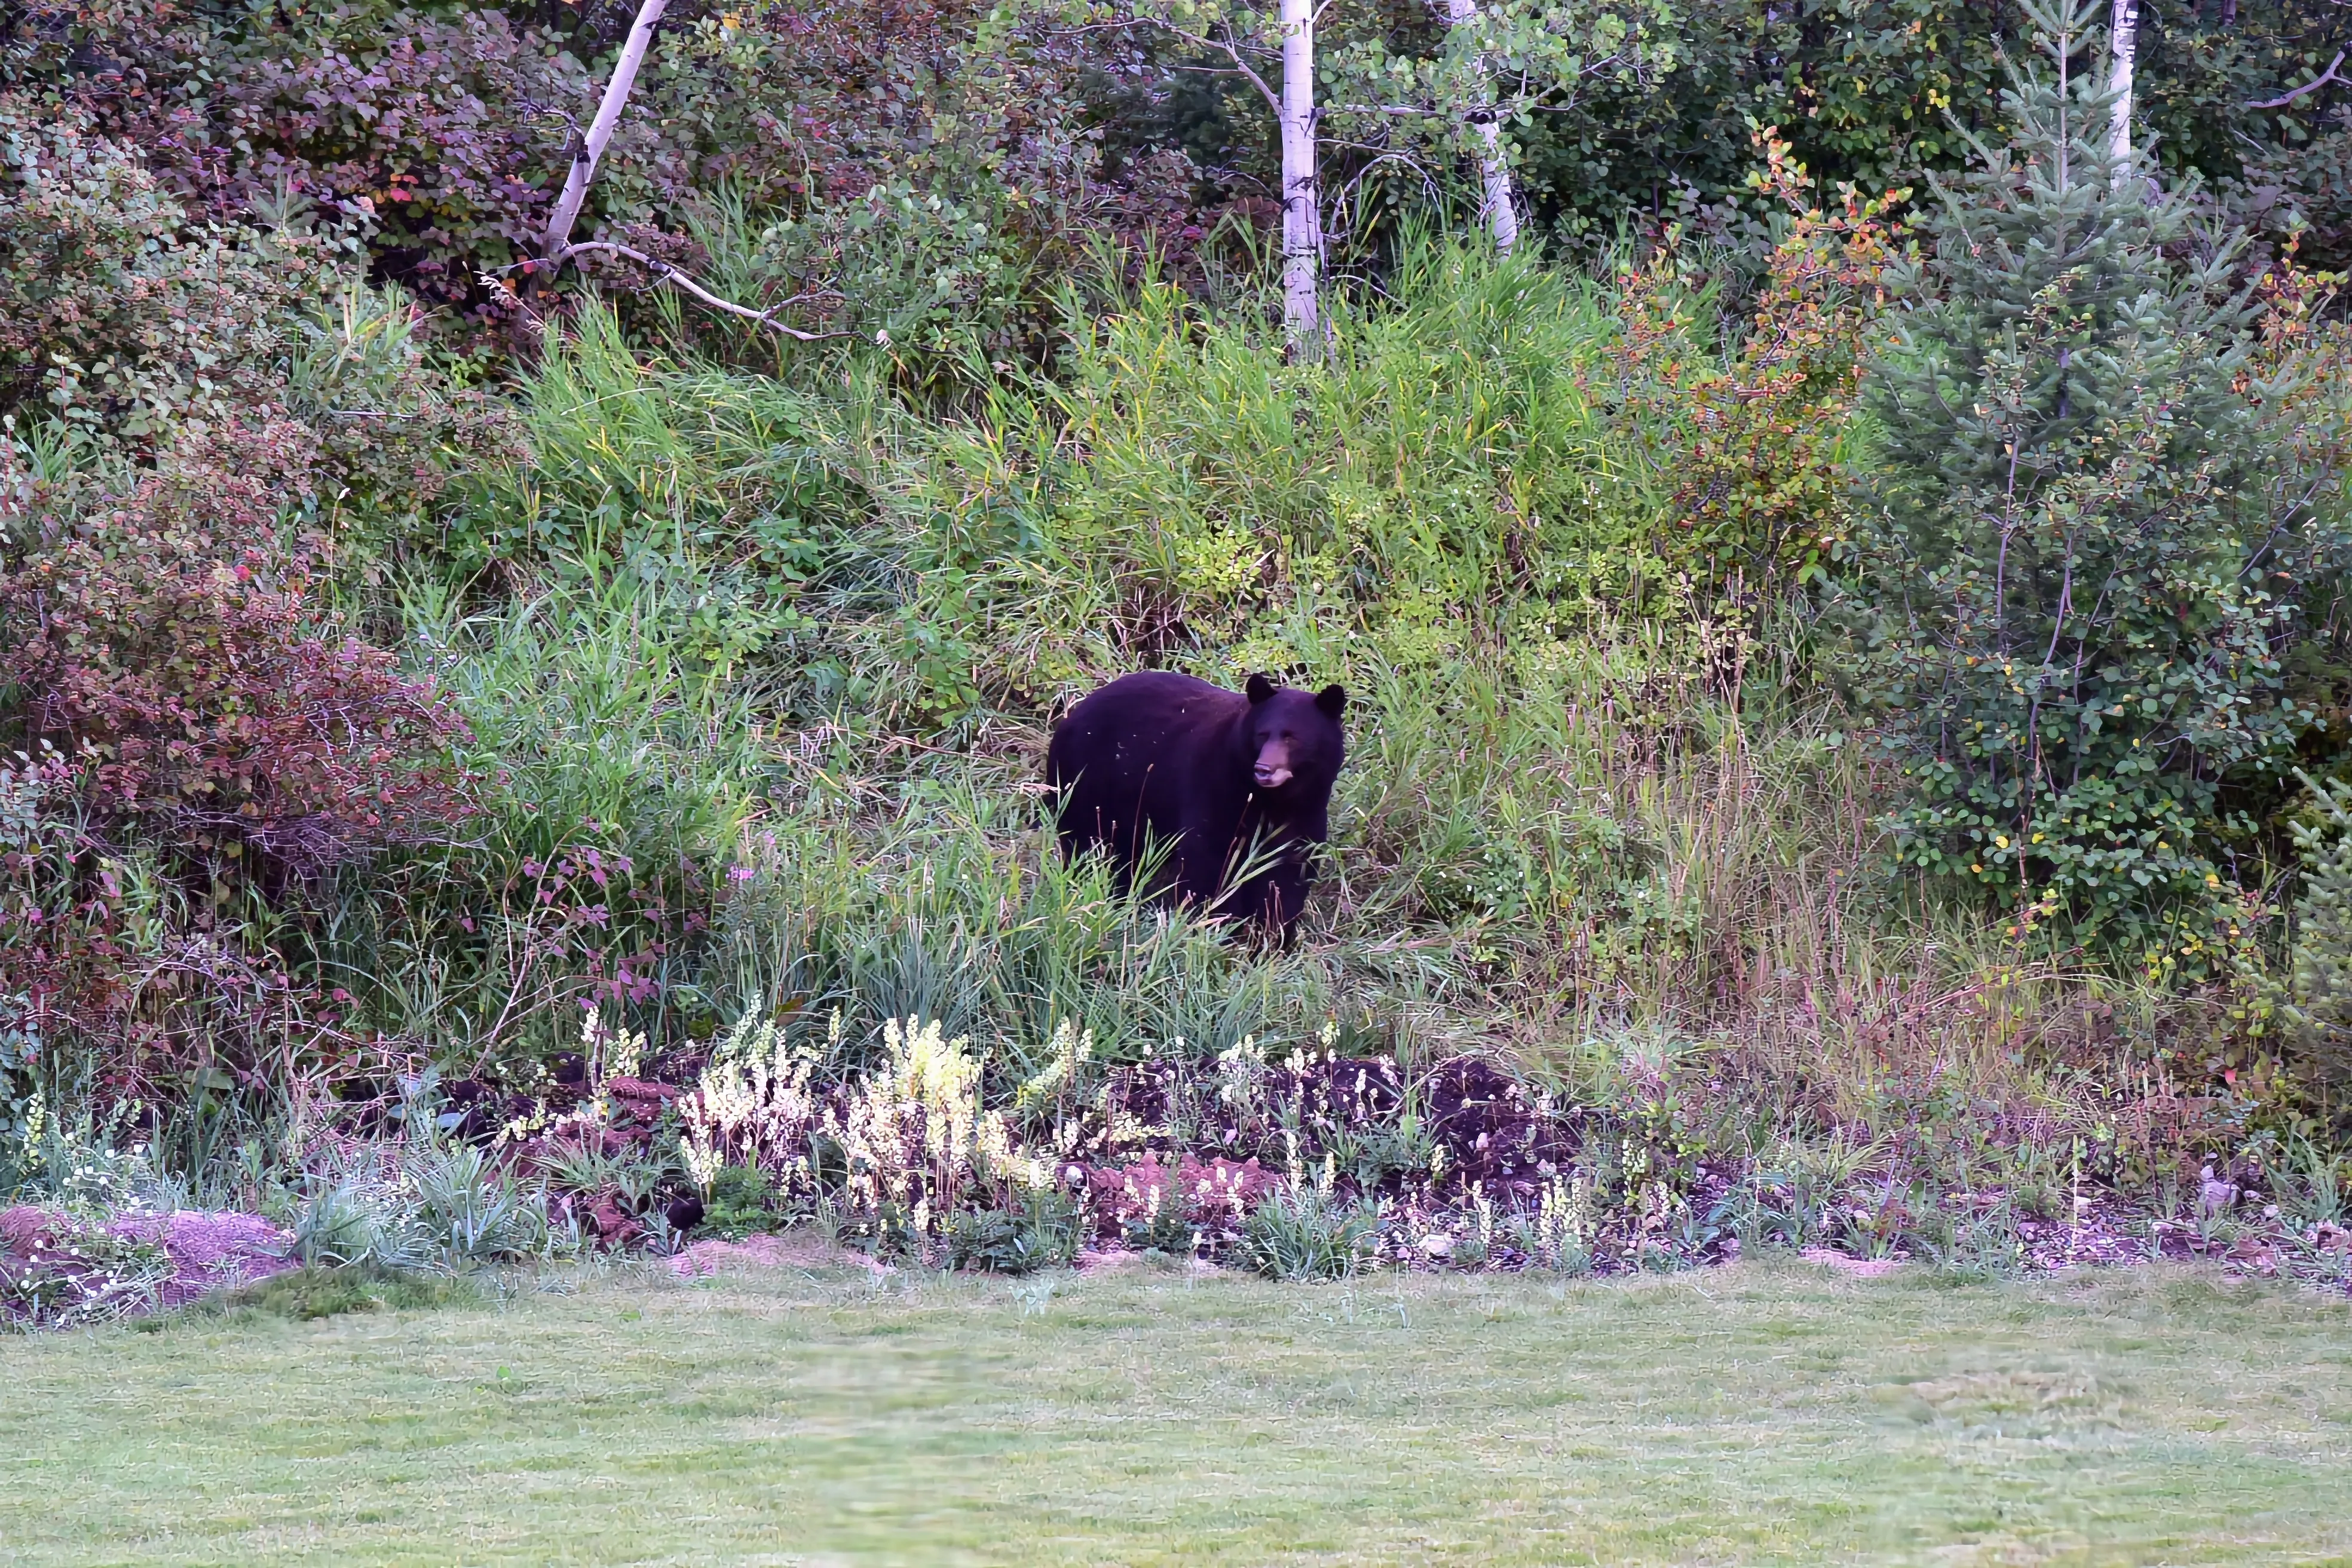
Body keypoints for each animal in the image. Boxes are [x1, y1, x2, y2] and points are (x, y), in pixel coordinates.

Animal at [1046, 670, 1347, 940]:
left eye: (1292, 737)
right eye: (1262, 734)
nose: (1264, 769)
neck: (1273, 800)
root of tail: (1069, 718)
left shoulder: (1306, 812)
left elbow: (1288, 873)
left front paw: (1272, 938)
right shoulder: (1215, 788)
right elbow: (1209, 862)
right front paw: (1218, 928)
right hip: (1084, 785)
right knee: (1090, 849)